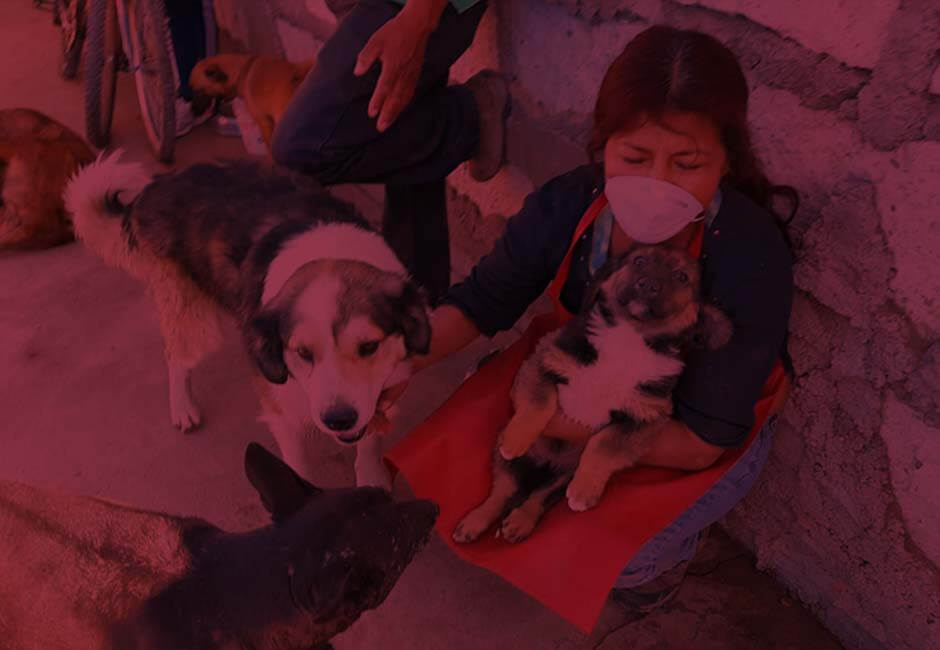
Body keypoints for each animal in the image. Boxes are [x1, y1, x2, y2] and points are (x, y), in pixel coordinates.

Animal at [66, 152, 430, 486]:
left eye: (369, 346)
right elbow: (297, 465)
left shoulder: (381, 389)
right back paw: (182, 407)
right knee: (177, 355)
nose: (338, 419)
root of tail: (155, 186)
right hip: (191, 313)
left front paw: (372, 477)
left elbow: (369, 441)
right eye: (303, 353)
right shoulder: (281, 408)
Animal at [452, 244, 732, 540]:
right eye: (639, 260)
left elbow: (604, 445)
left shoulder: (647, 417)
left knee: (538, 497)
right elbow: (540, 401)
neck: (629, 337)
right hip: (506, 460)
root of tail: (541, 467)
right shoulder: (543, 360)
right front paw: (517, 437)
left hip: (561, 476)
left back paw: (520, 521)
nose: (648, 285)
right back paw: (475, 521)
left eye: (681, 277)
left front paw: (584, 490)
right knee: (502, 492)